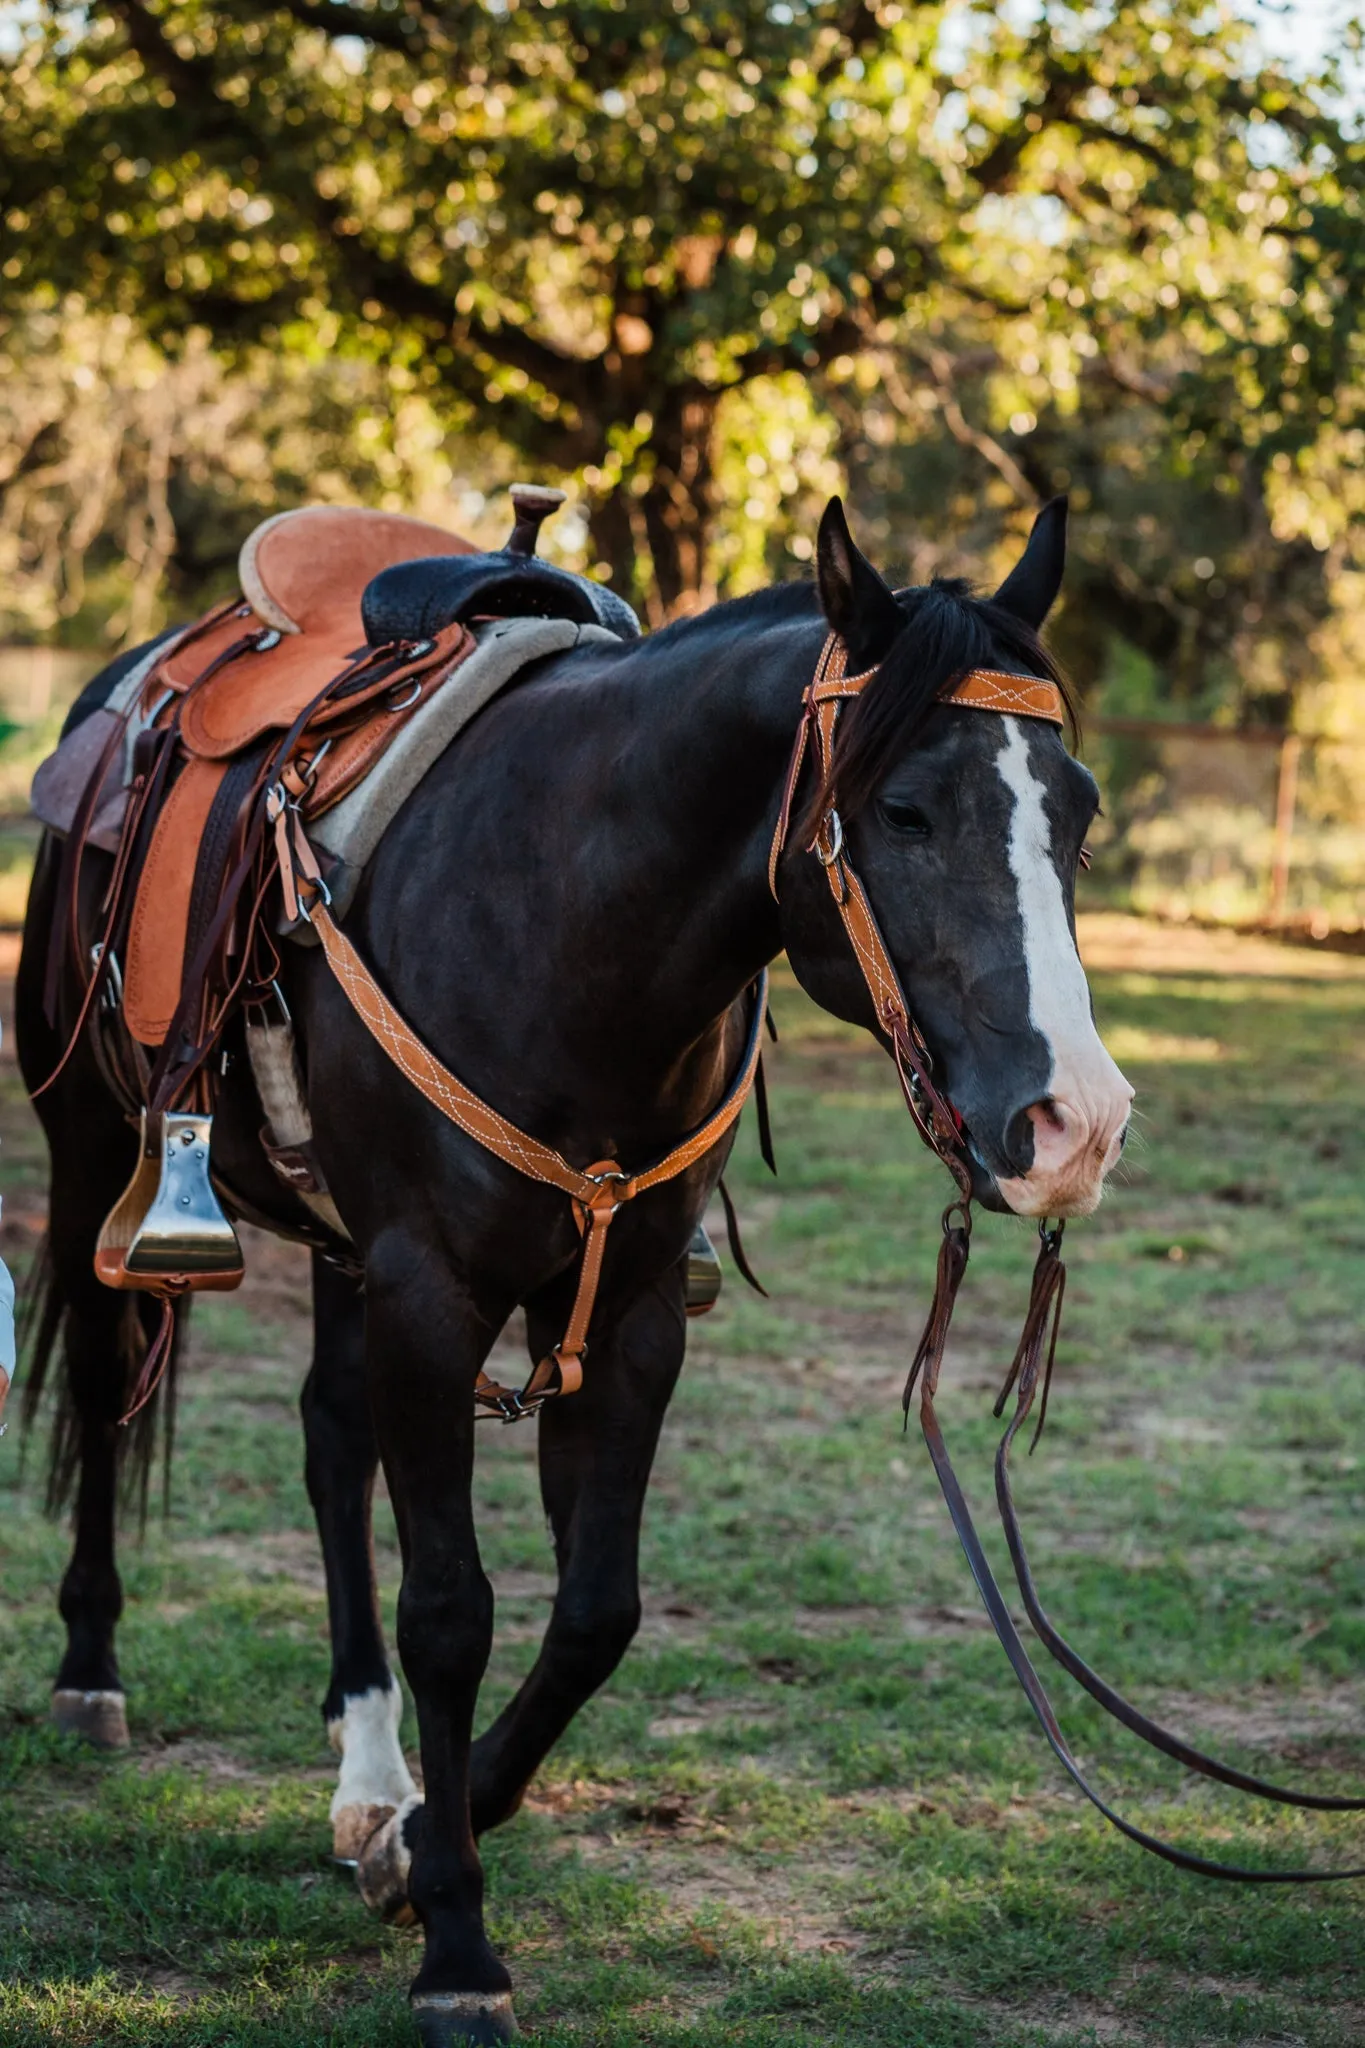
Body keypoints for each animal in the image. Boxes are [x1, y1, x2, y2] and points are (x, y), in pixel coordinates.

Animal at [15, 499, 1129, 2048]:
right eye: (906, 808)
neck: (570, 918)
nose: (1074, 1122)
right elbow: (451, 1612)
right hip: (91, 1153)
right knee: (105, 1377)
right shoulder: (433, 1295)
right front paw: (456, 1945)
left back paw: (369, 1772)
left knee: (329, 1437)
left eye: (1076, 811)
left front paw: (423, 1834)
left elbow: (596, 1610)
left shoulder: (628, 1312)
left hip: (352, 1256)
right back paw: (91, 1670)